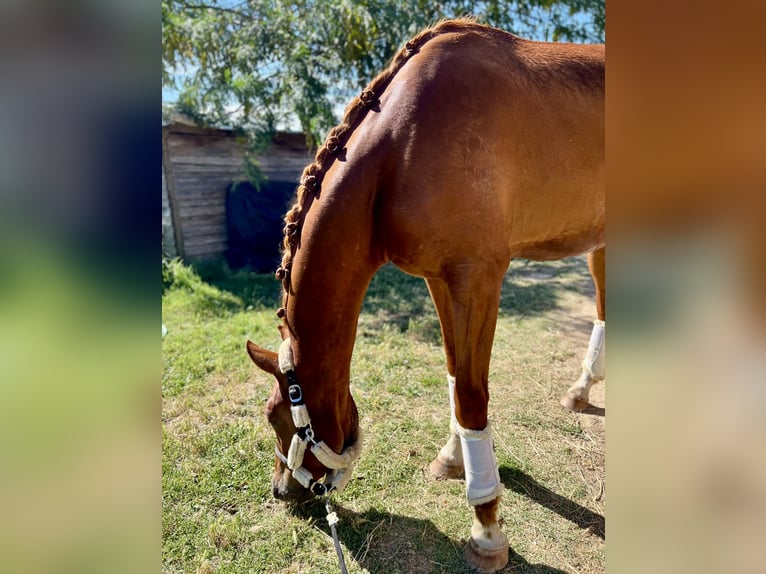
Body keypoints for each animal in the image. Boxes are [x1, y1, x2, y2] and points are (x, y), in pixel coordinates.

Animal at [249, 18, 604, 574]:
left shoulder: (477, 278)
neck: (402, 146)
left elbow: (473, 396)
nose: (282, 491)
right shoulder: (440, 278)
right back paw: (583, 389)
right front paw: (454, 459)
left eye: (280, 418)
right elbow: (456, 376)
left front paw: (486, 528)